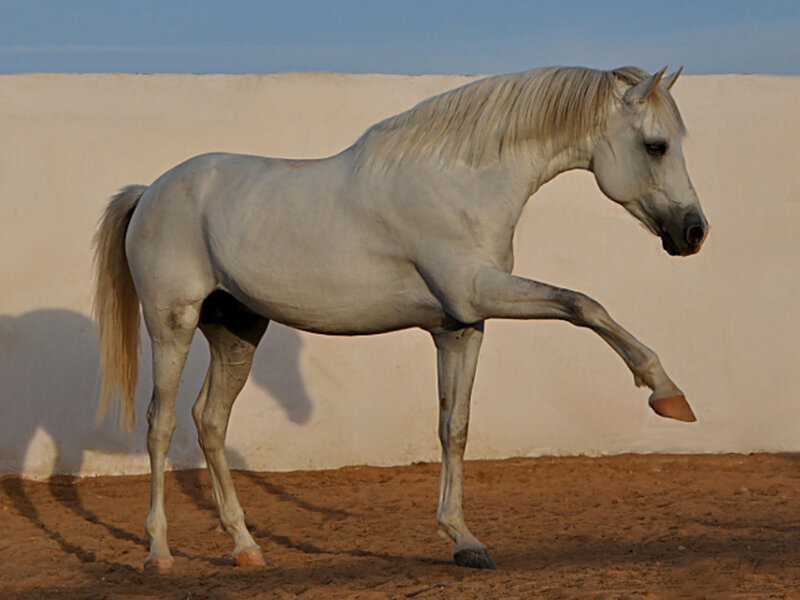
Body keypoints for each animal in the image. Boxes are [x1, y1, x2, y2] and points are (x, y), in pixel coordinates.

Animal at [93, 65, 708, 574]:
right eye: (656, 146)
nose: (693, 232)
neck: (462, 183)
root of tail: (152, 191)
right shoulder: (480, 292)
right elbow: (585, 305)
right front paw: (667, 392)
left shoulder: (461, 326)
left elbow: (454, 427)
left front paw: (463, 541)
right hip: (171, 325)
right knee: (161, 425)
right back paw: (159, 553)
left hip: (236, 331)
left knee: (211, 422)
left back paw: (246, 547)